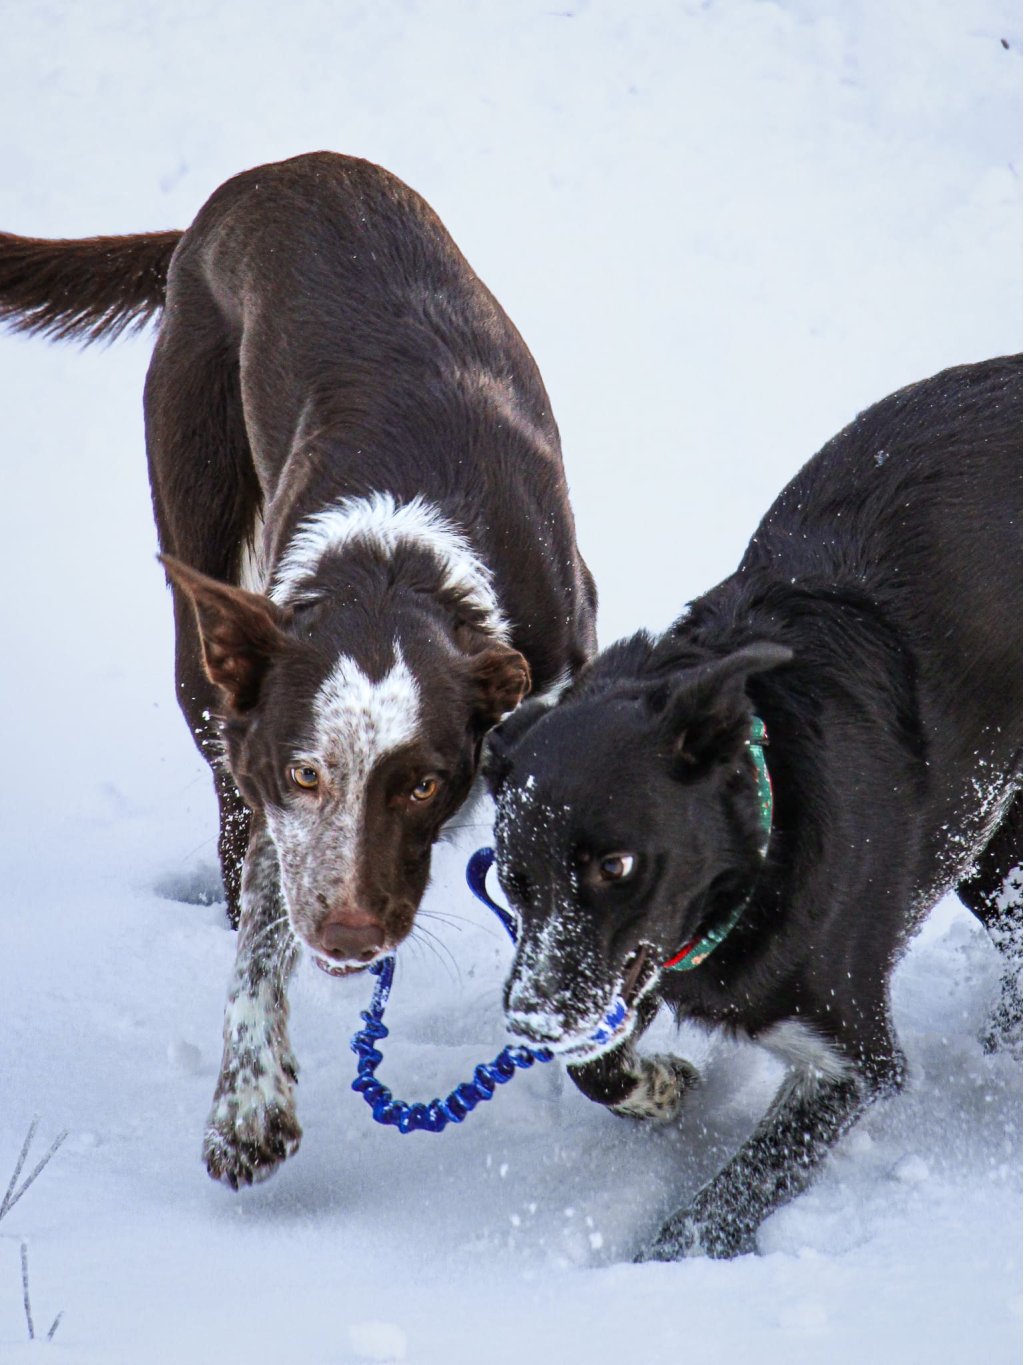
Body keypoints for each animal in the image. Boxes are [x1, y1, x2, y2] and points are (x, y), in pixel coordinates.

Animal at [0, 154, 598, 1190]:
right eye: (304, 773)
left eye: (424, 784)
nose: (350, 933)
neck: (396, 563)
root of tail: (264, 179)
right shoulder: (274, 790)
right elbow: (257, 943)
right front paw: (246, 1106)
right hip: (199, 594)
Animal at [486, 354, 1021, 1255]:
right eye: (509, 879)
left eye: (616, 864)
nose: (527, 1022)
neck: (766, 848)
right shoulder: (633, 964)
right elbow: (595, 1063)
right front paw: (660, 1087)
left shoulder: (850, 1060)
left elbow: (729, 1199)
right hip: (989, 840)